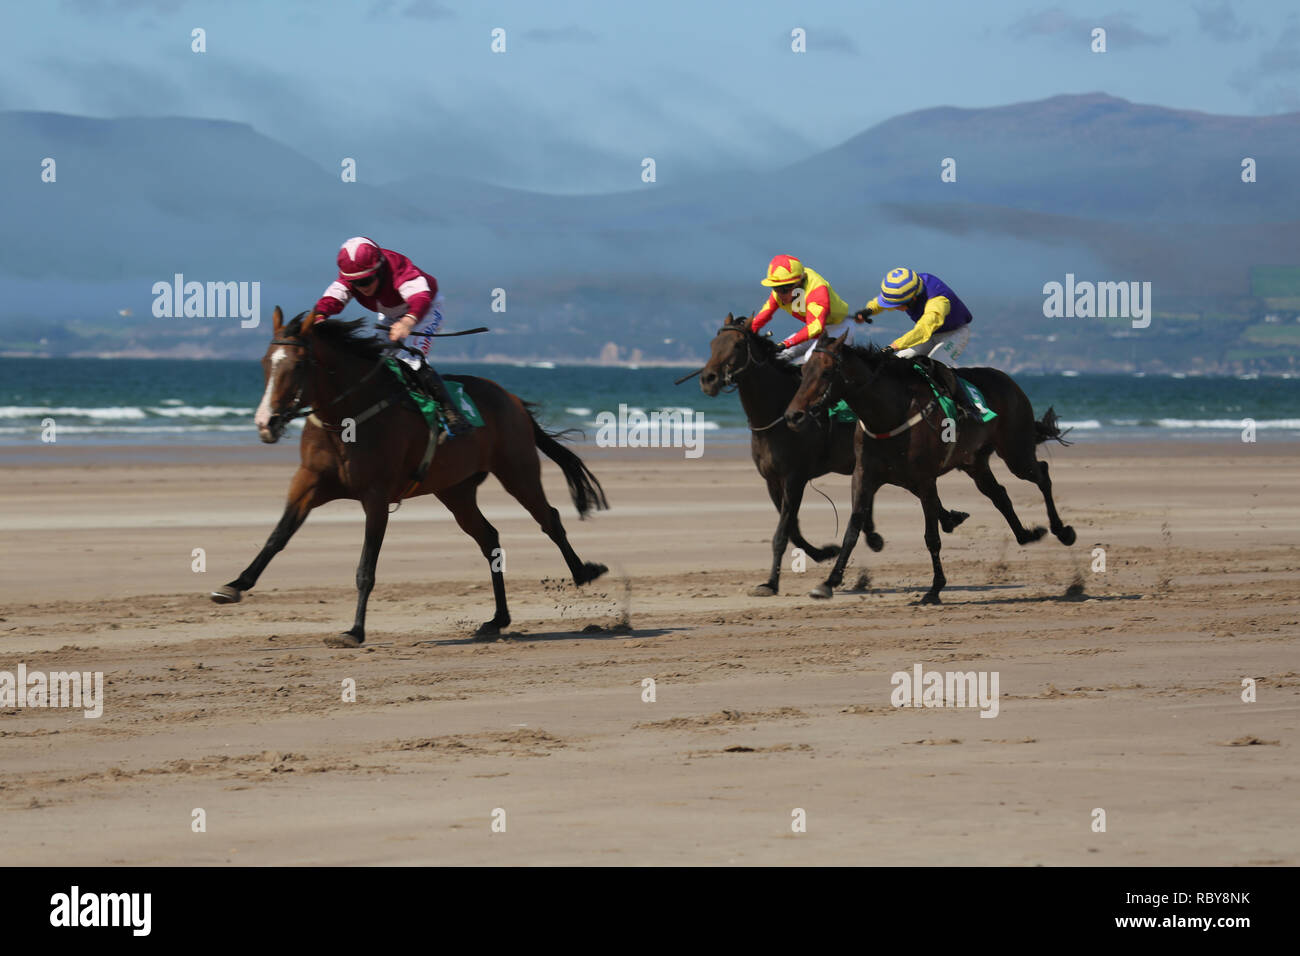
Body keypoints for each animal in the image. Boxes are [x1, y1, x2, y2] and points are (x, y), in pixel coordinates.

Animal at [211, 310, 608, 647]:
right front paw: (234, 585)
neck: (348, 419)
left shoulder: (376, 497)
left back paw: (583, 572)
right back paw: (497, 619)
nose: (266, 423)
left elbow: (366, 567)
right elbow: (276, 537)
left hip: (517, 470)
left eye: (297, 365)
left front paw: (354, 631)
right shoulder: (308, 483)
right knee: (489, 538)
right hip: (456, 491)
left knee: (549, 519)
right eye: (266, 363)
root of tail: (511, 398)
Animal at [702, 314, 967, 595]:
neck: (777, 412)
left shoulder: (794, 477)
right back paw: (935, 521)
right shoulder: (772, 480)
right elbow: (792, 529)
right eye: (713, 344)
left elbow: (783, 532)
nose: (708, 379)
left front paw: (771, 583)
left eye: (737, 345)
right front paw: (824, 552)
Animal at [780, 335, 1076, 606]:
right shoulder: (865, 475)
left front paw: (934, 589)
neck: (890, 412)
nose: (793, 415)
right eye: (804, 372)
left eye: (826, 372)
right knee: (999, 494)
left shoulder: (924, 479)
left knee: (1041, 473)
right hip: (974, 462)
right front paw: (829, 582)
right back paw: (1027, 534)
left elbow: (931, 536)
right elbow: (852, 529)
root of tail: (1008, 380)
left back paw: (1063, 531)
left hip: (1016, 452)